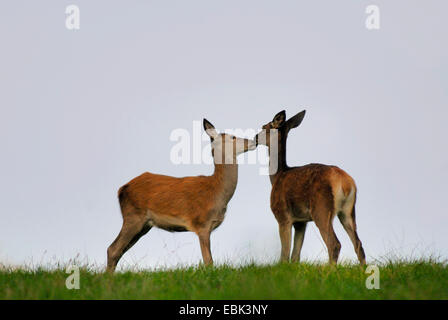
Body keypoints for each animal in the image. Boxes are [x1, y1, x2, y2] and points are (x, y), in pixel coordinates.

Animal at [105, 119, 258, 272]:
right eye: (233, 137)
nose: (254, 140)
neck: (216, 192)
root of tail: (121, 189)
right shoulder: (201, 223)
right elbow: (208, 261)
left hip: (144, 225)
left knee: (119, 251)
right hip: (133, 216)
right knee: (113, 249)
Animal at [254, 110, 366, 264]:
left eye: (264, 127)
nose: (255, 138)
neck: (277, 176)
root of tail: (346, 183)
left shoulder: (282, 215)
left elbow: (284, 255)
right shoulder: (301, 222)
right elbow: (295, 256)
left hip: (321, 208)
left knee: (334, 243)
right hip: (348, 210)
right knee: (359, 244)